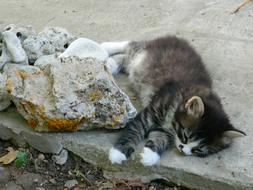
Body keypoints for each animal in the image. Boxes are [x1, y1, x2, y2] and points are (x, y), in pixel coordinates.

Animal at [102, 35, 246, 166]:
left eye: (198, 150)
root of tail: (177, 39)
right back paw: (105, 50)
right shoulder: (148, 113)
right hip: (143, 52)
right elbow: (133, 131)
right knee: (130, 45)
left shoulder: (163, 129)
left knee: (125, 57)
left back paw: (110, 63)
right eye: (186, 136)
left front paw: (150, 155)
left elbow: (160, 139)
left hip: (136, 64)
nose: (183, 149)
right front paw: (118, 152)